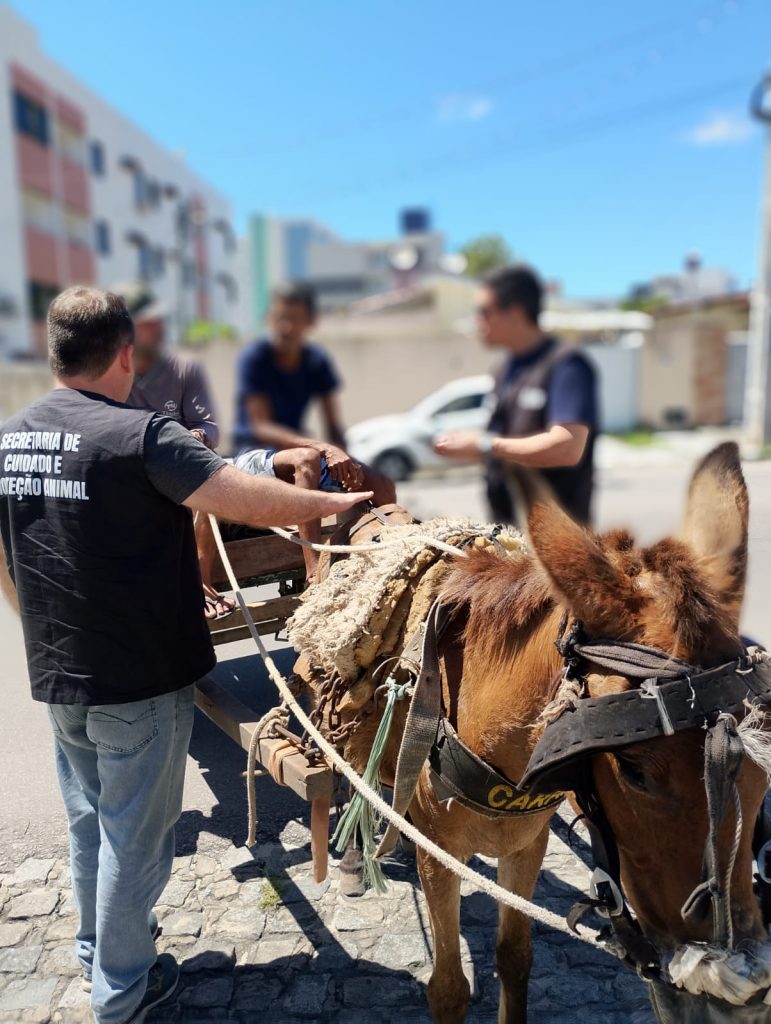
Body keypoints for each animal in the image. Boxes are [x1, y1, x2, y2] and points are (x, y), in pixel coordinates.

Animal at [297, 442, 771, 1023]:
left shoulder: (528, 844)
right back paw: (352, 859)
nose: (740, 997)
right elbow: (449, 988)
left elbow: (515, 957)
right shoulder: (441, 857)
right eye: (634, 770)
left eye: (762, 776)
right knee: (347, 773)